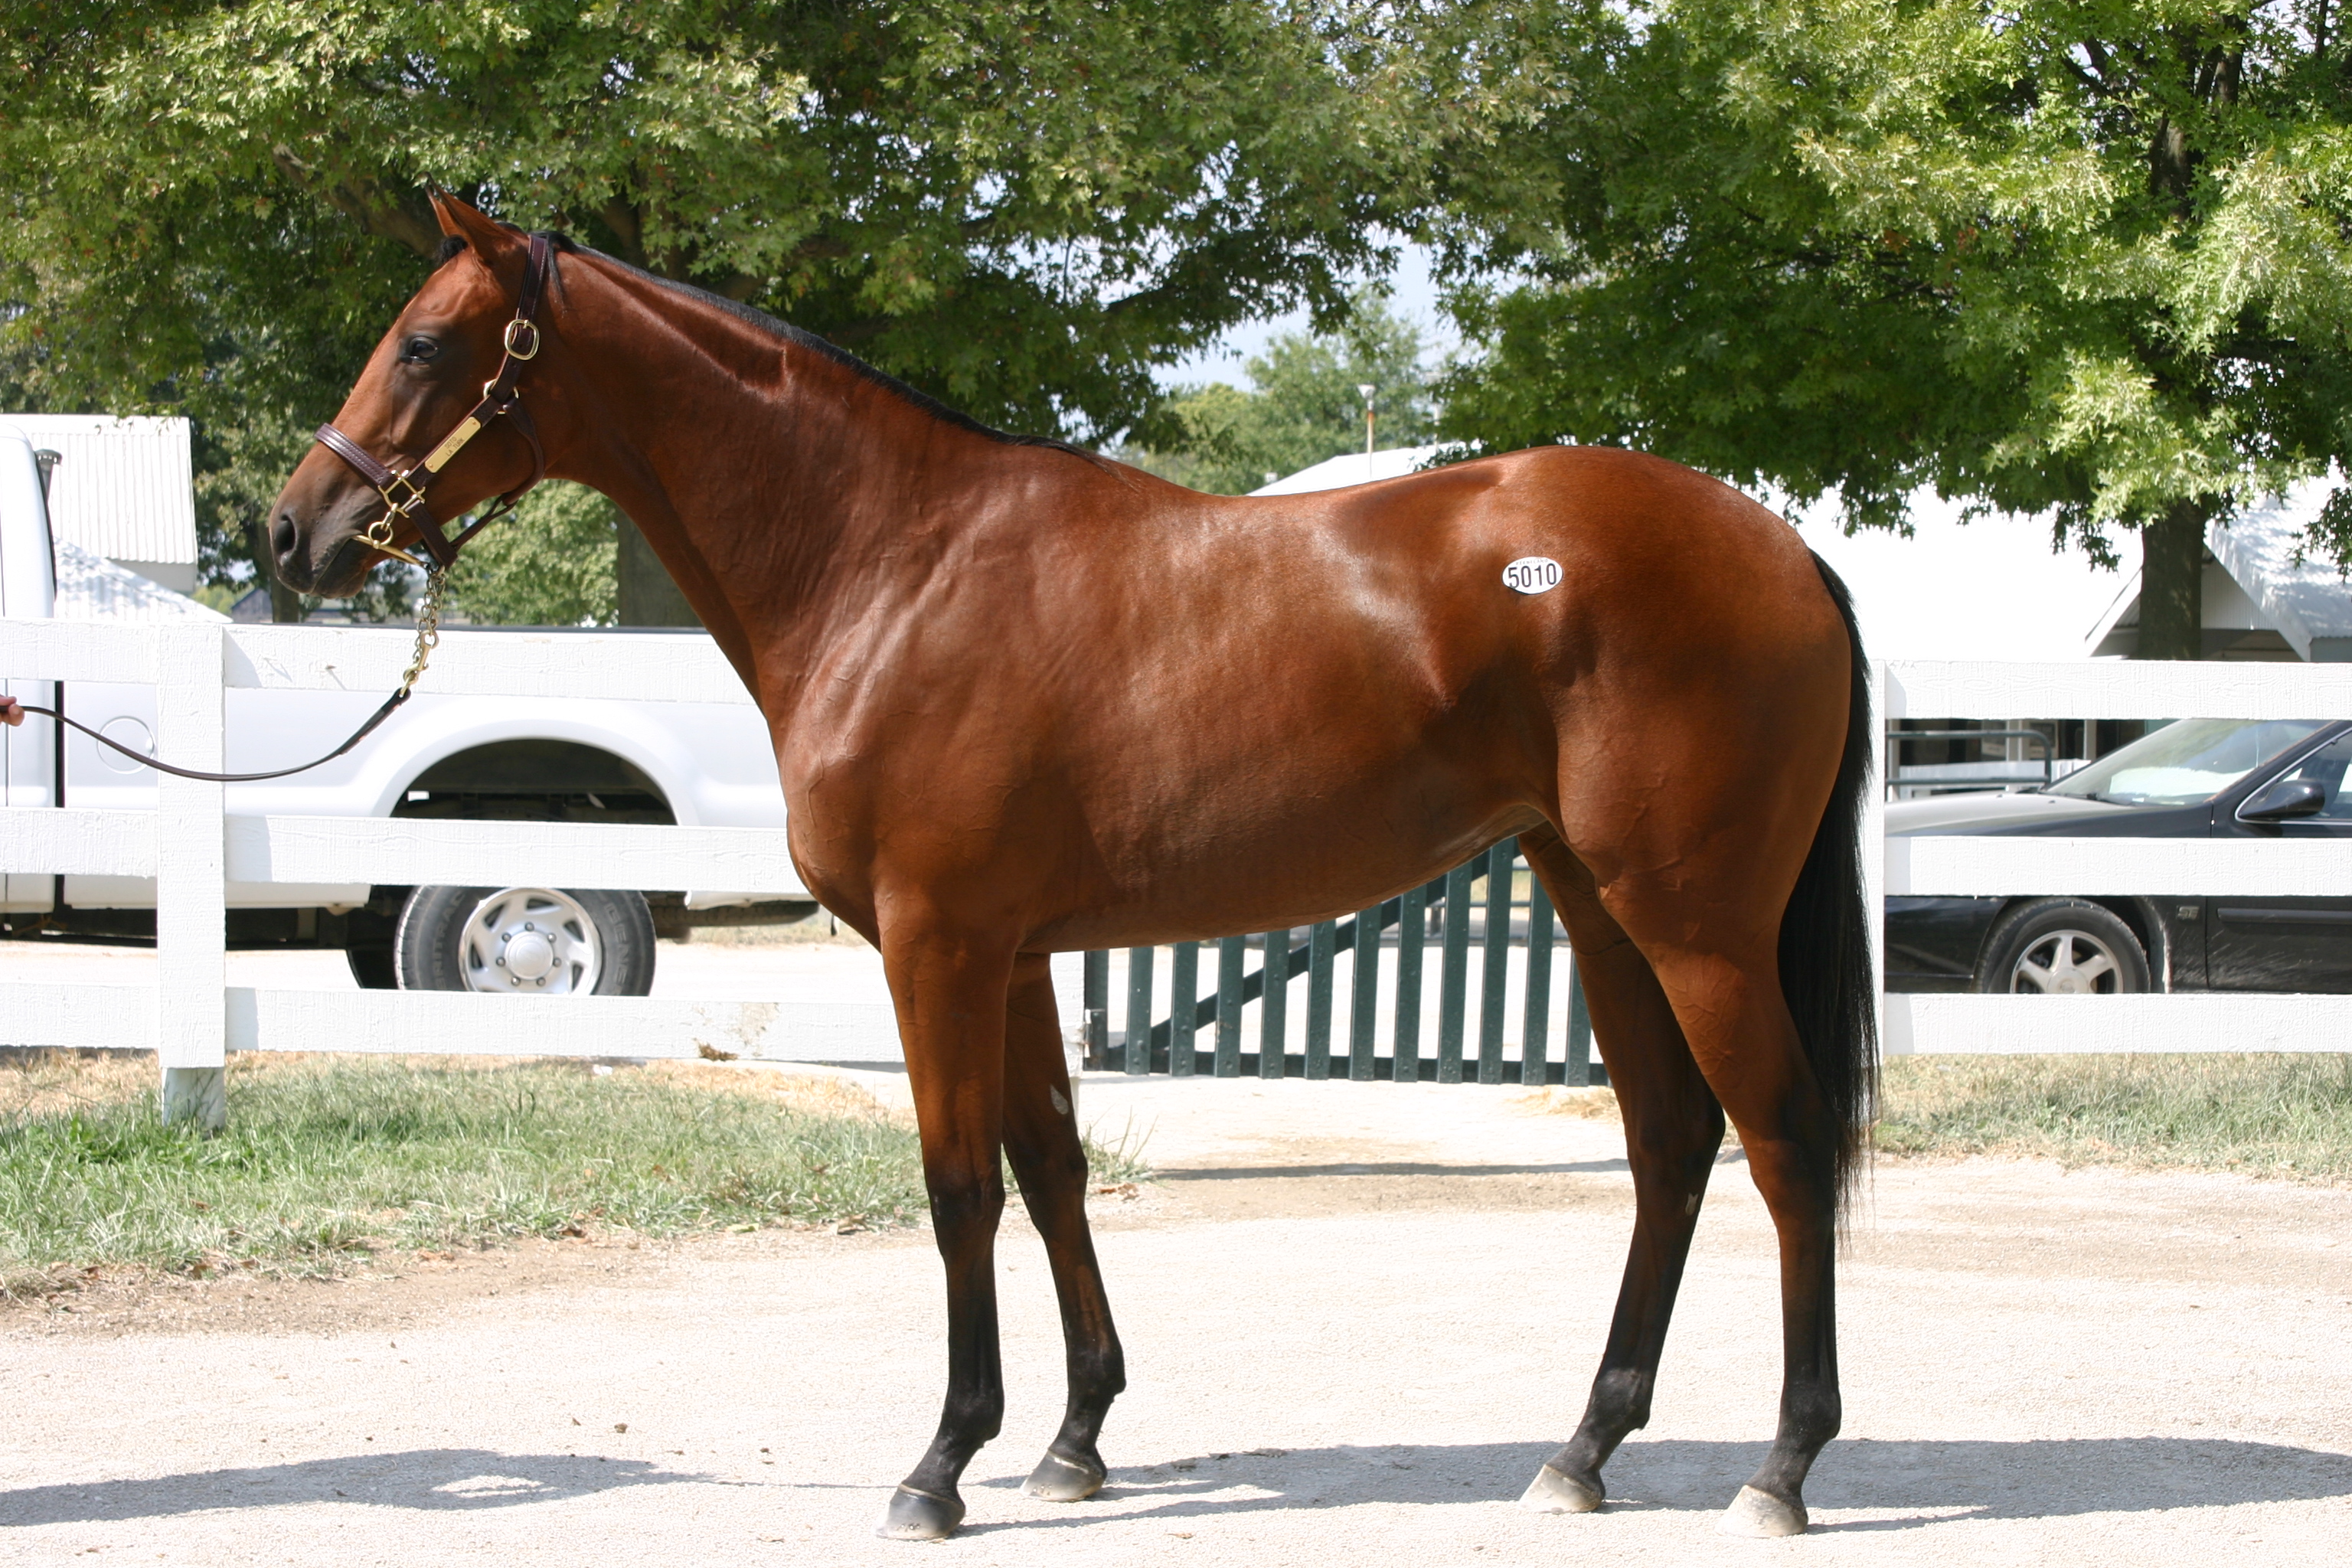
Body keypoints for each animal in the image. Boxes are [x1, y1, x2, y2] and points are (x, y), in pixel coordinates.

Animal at [270, 192, 1872, 1532]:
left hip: (1695, 923)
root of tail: (1784, 552)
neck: (894, 566)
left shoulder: (936, 943)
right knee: (1670, 1145)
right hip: (1595, 904)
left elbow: (956, 1185)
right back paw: (1582, 1450)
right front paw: (1073, 1437)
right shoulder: (1018, 950)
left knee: (1786, 1141)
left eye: (425, 342)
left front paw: (940, 1462)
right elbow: (1049, 1165)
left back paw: (1783, 1466)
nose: (295, 532)